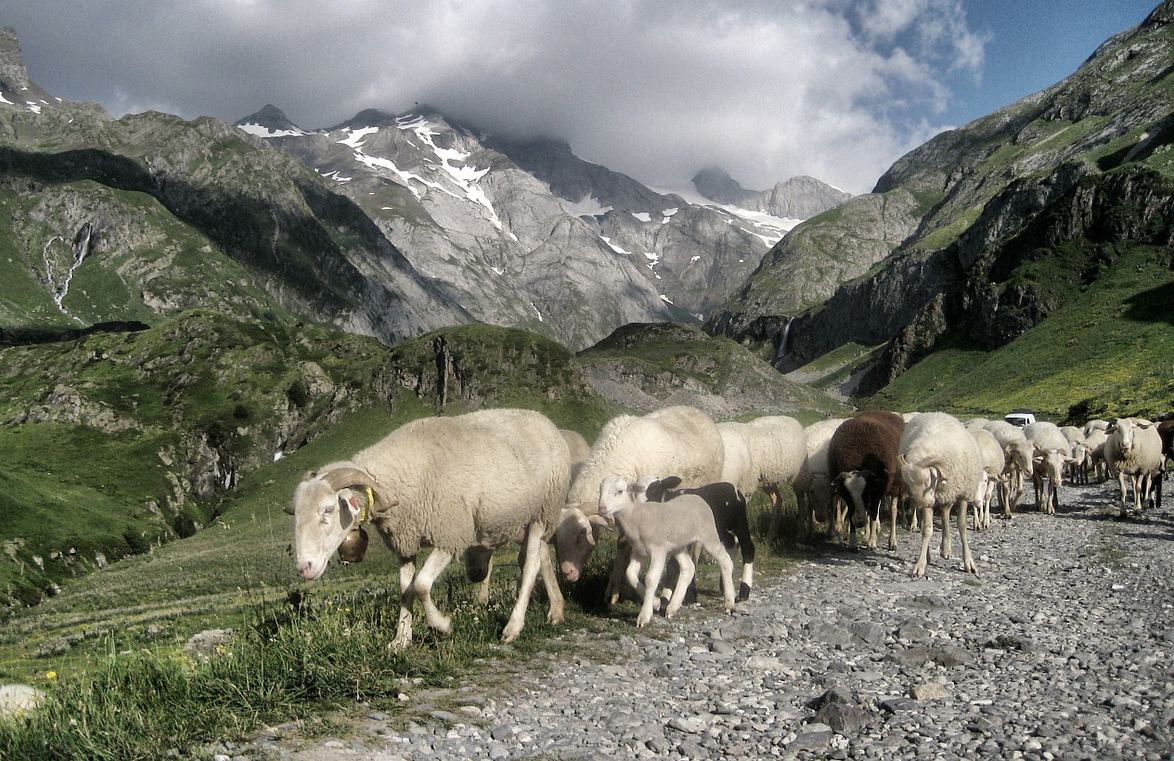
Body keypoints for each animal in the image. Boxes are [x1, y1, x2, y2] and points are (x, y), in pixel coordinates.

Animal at [288, 406, 572, 643]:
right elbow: (405, 589)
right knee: (542, 556)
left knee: (531, 563)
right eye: (296, 515)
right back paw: (556, 611)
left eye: (328, 509)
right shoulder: (404, 541)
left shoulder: (450, 534)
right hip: (531, 517)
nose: (304, 568)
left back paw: (513, 627)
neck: (399, 479)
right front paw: (401, 641)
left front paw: (442, 626)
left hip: (543, 510)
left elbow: (422, 585)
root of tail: (544, 420)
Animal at [596, 479, 732, 629]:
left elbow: (651, 579)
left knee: (725, 560)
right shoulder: (638, 552)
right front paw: (656, 603)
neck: (637, 516)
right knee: (688, 568)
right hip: (678, 546)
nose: (602, 508)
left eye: (620, 491)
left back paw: (729, 603)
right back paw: (672, 607)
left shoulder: (658, 550)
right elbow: (630, 574)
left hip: (708, 535)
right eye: (600, 490)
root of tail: (697, 498)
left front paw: (644, 616)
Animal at [896, 411, 981, 577]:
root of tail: (935, 413)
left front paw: (969, 562)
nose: (925, 504)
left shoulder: (963, 494)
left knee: (945, 516)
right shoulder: (928, 499)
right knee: (941, 517)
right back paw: (935, 552)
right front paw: (920, 564)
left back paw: (946, 549)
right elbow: (927, 529)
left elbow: (962, 526)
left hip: (950, 493)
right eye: (908, 483)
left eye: (927, 479)